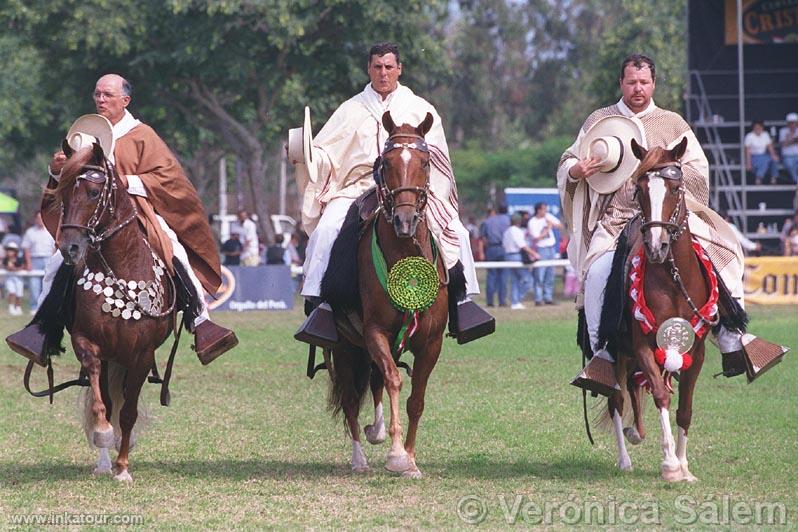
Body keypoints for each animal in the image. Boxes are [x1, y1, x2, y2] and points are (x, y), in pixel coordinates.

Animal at [46, 142, 180, 482]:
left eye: (94, 193)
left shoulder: (142, 355)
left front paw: (123, 468)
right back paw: (105, 459)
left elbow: (129, 413)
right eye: (62, 196)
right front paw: (105, 436)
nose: (70, 248)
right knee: (106, 398)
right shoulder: (89, 344)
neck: (122, 266)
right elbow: (101, 402)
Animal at [322, 112, 454, 478]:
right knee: (353, 397)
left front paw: (409, 458)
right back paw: (360, 457)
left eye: (425, 162)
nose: (405, 220)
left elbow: (416, 399)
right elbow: (394, 381)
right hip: (344, 345)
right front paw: (396, 455)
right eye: (386, 163)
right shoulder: (374, 332)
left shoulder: (431, 342)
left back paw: (377, 432)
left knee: (375, 382)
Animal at [608, 137, 716, 482]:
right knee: (617, 398)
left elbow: (685, 408)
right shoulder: (644, 345)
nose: (657, 246)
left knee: (631, 386)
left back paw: (636, 433)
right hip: (617, 351)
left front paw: (684, 466)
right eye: (639, 190)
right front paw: (670, 464)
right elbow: (660, 394)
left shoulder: (695, 351)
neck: (674, 279)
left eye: (675, 187)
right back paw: (624, 457)